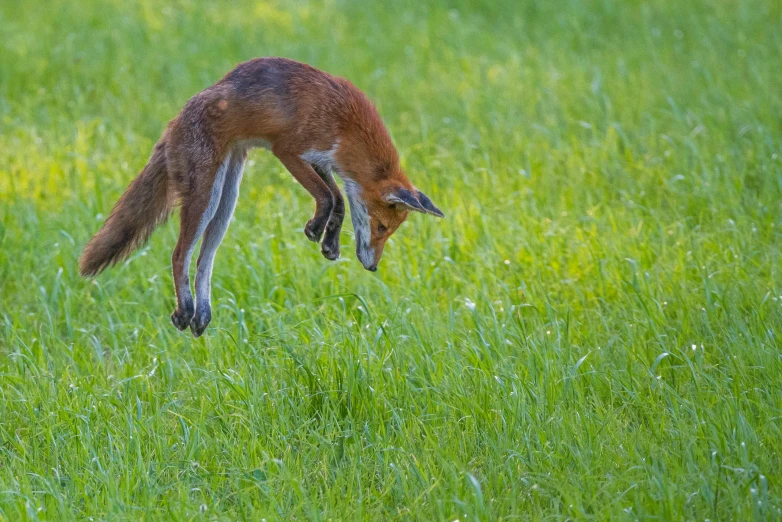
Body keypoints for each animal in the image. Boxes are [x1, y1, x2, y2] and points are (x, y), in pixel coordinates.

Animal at [82, 54, 448, 336]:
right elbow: (328, 197)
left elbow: (340, 200)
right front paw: (317, 229)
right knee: (178, 254)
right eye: (383, 228)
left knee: (203, 259)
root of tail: (175, 119)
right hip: (206, 196)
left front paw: (329, 241)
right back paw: (185, 310)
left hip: (226, 198)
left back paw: (201, 313)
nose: (372, 268)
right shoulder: (289, 150)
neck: (345, 125)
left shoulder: (322, 162)